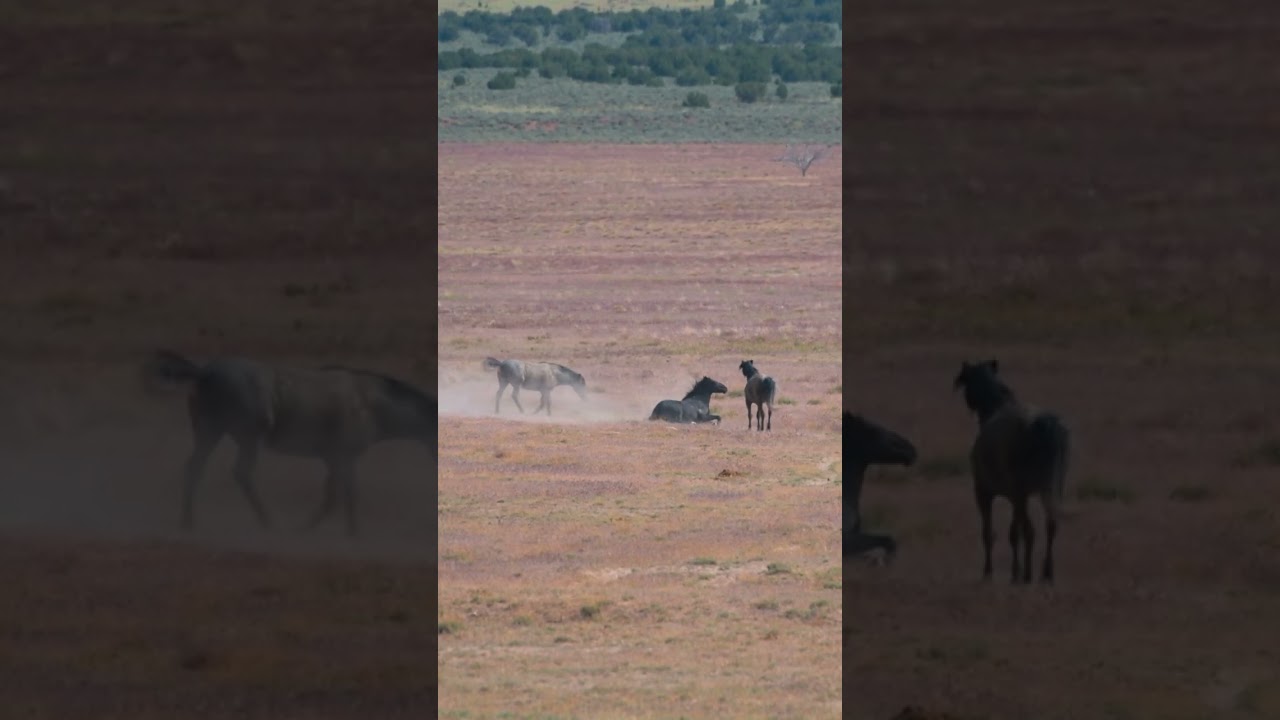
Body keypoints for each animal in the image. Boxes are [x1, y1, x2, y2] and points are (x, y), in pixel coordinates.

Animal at [143, 349, 437, 536]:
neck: (370, 405)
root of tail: (204, 372)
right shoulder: (344, 456)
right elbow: (343, 493)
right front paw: (339, 532)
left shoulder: (334, 458)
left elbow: (336, 493)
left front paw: (335, 530)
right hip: (248, 438)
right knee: (241, 472)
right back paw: (266, 522)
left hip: (209, 432)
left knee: (194, 467)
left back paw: (187, 523)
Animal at [953, 359, 1071, 584]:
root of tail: (1042, 425)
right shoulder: (1014, 498)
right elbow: (1013, 533)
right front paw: (1015, 571)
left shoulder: (984, 493)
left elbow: (990, 533)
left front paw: (990, 571)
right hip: (1049, 489)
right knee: (1050, 525)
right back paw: (1046, 573)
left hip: (1021, 493)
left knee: (1030, 530)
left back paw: (1027, 574)